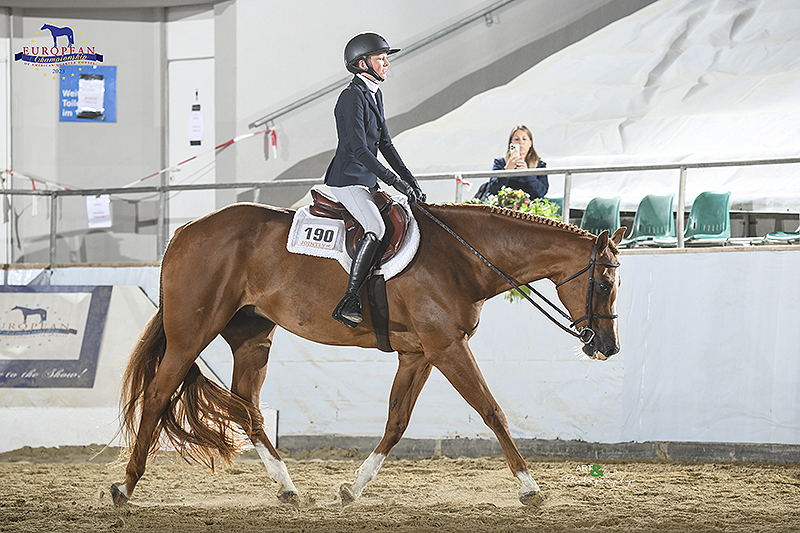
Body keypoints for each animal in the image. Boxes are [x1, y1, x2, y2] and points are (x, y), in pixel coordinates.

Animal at [112, 201, 624, 508]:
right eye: (604, 283)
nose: (608, 347)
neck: (463, 258)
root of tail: (183, 231)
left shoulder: (419, 354)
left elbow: (396, 422)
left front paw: (352, 488)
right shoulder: (447, 346)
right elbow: (492, 410)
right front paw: (530, 488)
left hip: (251, 337)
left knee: (247, 406)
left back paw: (288, 487)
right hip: (191, 334)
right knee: (157, 395)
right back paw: (126, 486)